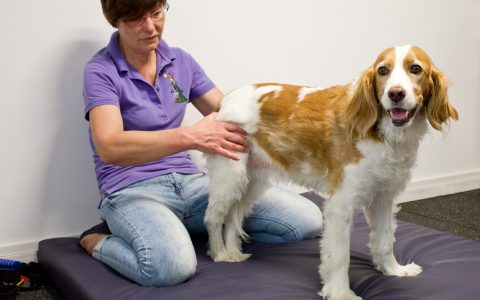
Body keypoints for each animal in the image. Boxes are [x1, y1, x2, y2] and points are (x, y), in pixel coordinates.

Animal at [202, 45, 458, 300]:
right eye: (383, 70)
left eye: (415, 68)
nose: (395, 93)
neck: (383, 133)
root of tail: (225, 100)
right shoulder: (341, 203)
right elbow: (339, 256)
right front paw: (340, 292)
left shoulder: (383, 198)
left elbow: (385, 240)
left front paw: (394, 270)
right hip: (230, 175)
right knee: (213, 217)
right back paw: (219, 254)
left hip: (252, 181)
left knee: (233, 217)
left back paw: (233, 253)